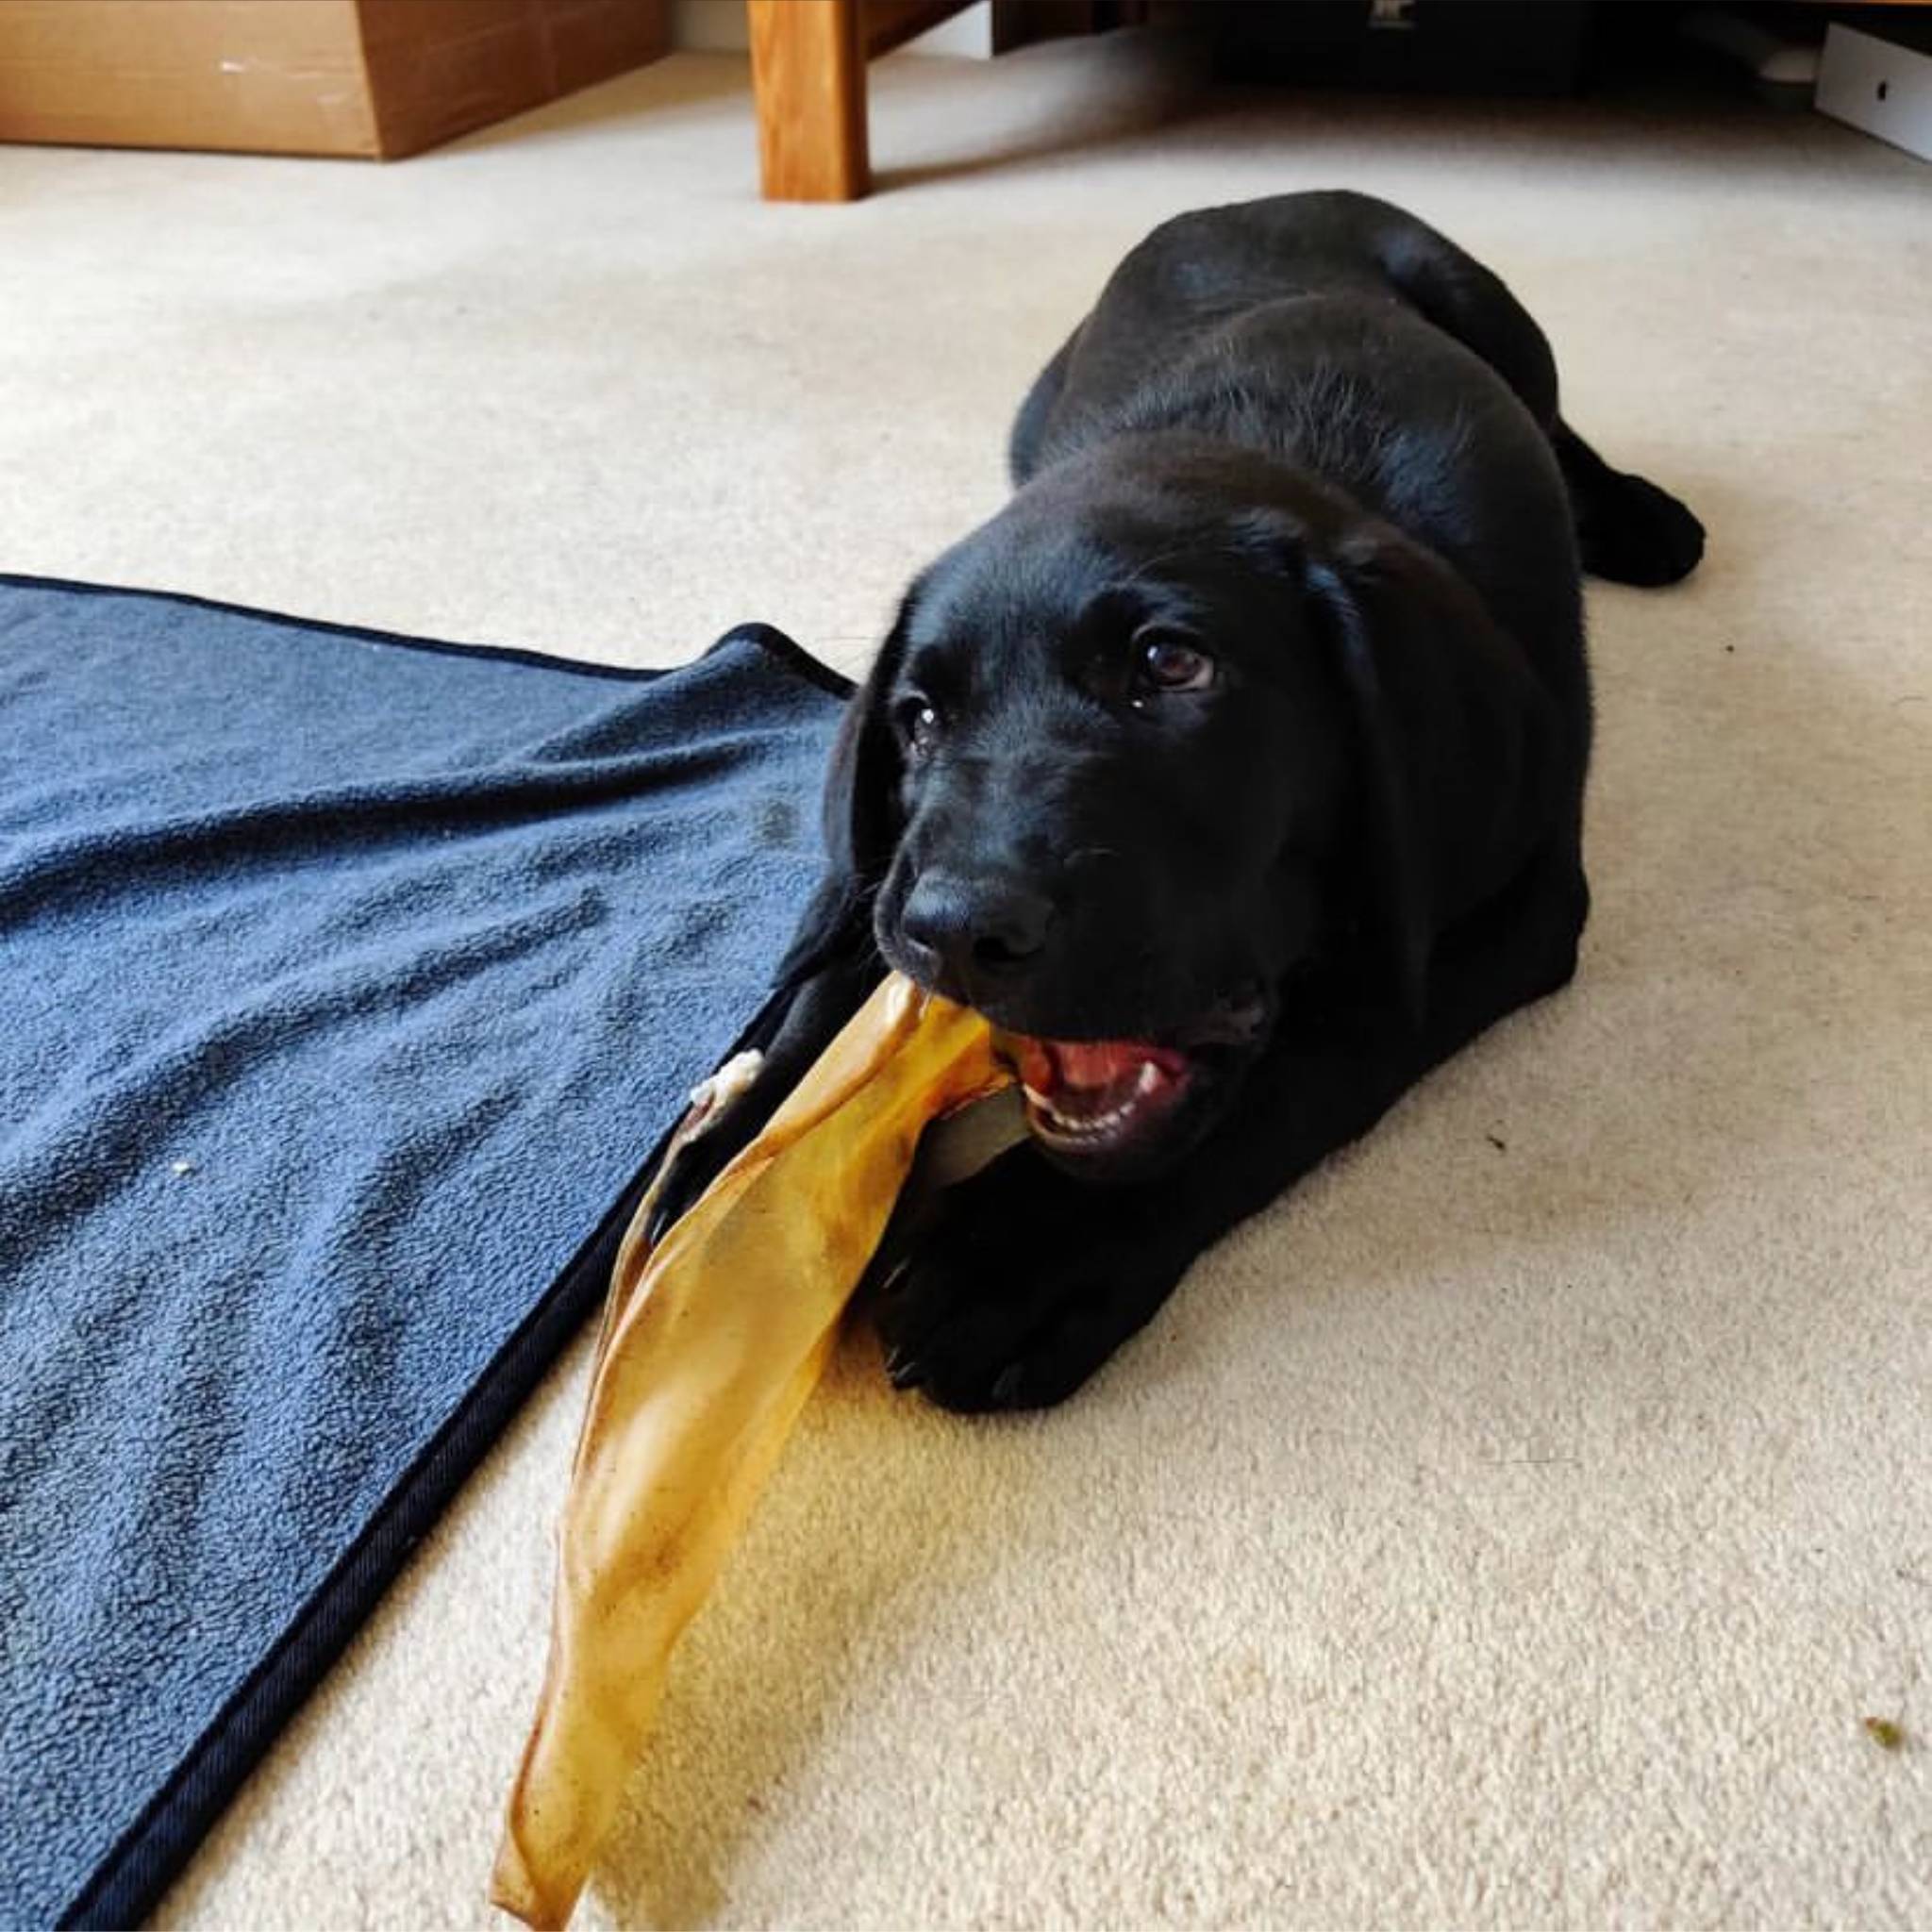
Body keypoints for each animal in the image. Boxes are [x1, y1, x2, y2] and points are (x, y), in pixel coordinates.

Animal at [664, 188, 1707, 1414]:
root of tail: (1262, 194)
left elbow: (1307, 1064)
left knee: (1560, 422)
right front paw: (727, 1181)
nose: (959, 931)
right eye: (916, 720)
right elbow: (832, 968)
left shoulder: (1513, 900)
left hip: (1487, 307)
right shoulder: (892, 869)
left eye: (1171, 667)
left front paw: (1025, 1251)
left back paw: (1641, 519)